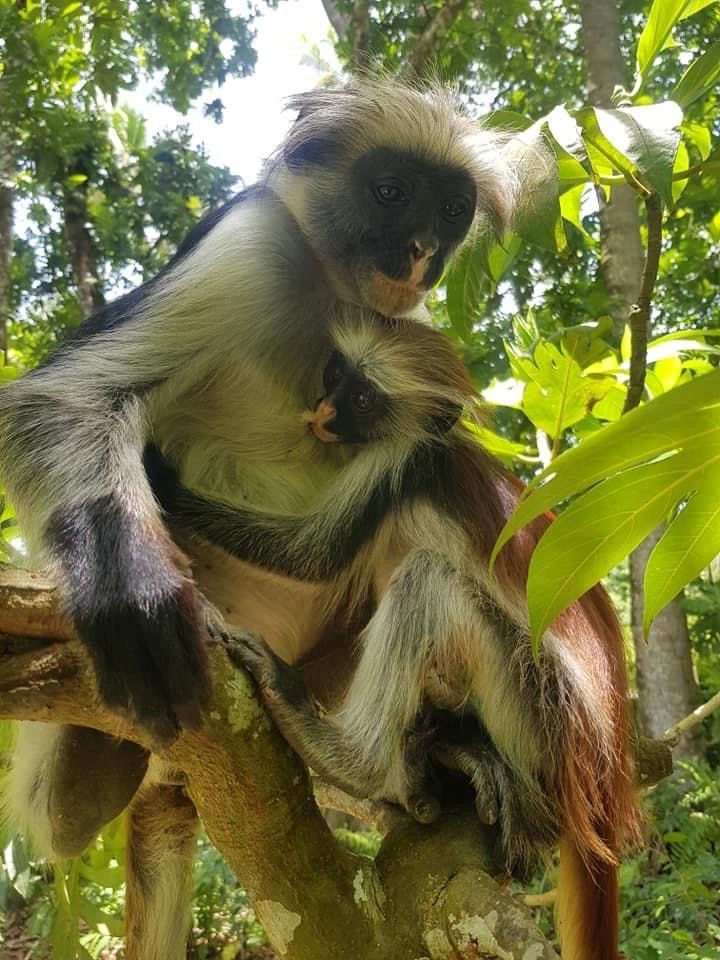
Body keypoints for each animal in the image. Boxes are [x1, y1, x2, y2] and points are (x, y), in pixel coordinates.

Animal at [158, 309, 643, 960]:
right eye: (336, 374)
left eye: (363, 398)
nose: (323, 413)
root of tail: (600, 765)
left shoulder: (397, 459)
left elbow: (305, 555)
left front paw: (156, 473)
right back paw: (451, 746)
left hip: (542, 708)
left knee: (427, 580)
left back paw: (348, 752)